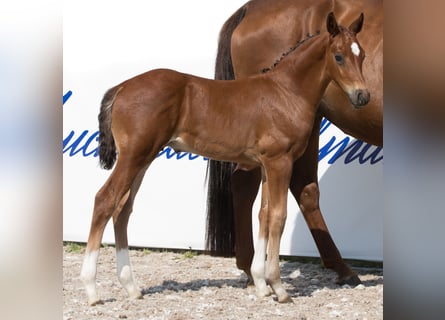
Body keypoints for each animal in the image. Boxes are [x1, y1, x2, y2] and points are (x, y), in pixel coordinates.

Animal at [80, 11, 368, 302]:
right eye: (338, 56)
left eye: (362, 55)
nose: (362, 96)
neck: (286, 92)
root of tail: (121, 86)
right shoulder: (280, 162)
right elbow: (278, 217)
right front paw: (278, 287)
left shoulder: (266, 164)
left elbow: (263, 215)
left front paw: (261, 284)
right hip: (133, 157)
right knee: (105, 200)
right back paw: (92, 290)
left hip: (143, 159)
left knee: (122, 209)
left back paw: (131, 287)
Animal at [205, 0, 382, 284]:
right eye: (338, 57)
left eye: (363, 56)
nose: (362, 96)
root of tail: (247, 9)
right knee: (246, 183)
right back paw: (251, 267)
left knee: (304, 189)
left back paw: (341, 268)